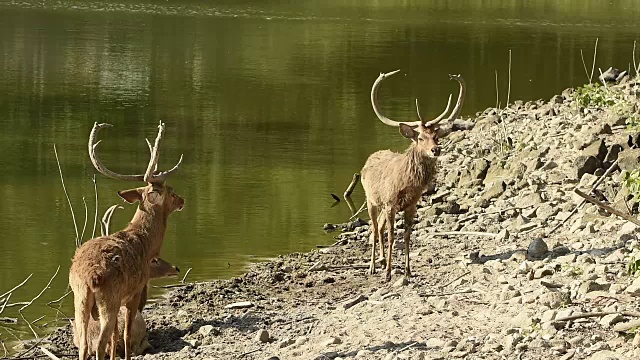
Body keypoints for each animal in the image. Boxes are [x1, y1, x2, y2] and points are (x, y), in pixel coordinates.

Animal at [70, 121, 185, 360]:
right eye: (171, 191)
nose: (182, 200)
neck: (145, 243)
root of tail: (90, 277)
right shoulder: (134, 292)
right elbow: (124, 334)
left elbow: (115, 337)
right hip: (109, 299)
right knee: (100, 342)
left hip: (80, 298)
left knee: (85, 343)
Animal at [360, 69, 464, 282]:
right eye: (420, 138)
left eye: (436, 136)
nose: (435, 150)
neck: (406, 183)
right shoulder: (390, 203)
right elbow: (392, 235)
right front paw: (388, 273)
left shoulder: (411, 205)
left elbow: (407, 236)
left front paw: (408, 271)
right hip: (371, 200)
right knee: (374, 228)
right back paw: (373, 266)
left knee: (379, 226)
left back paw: (381, 261)